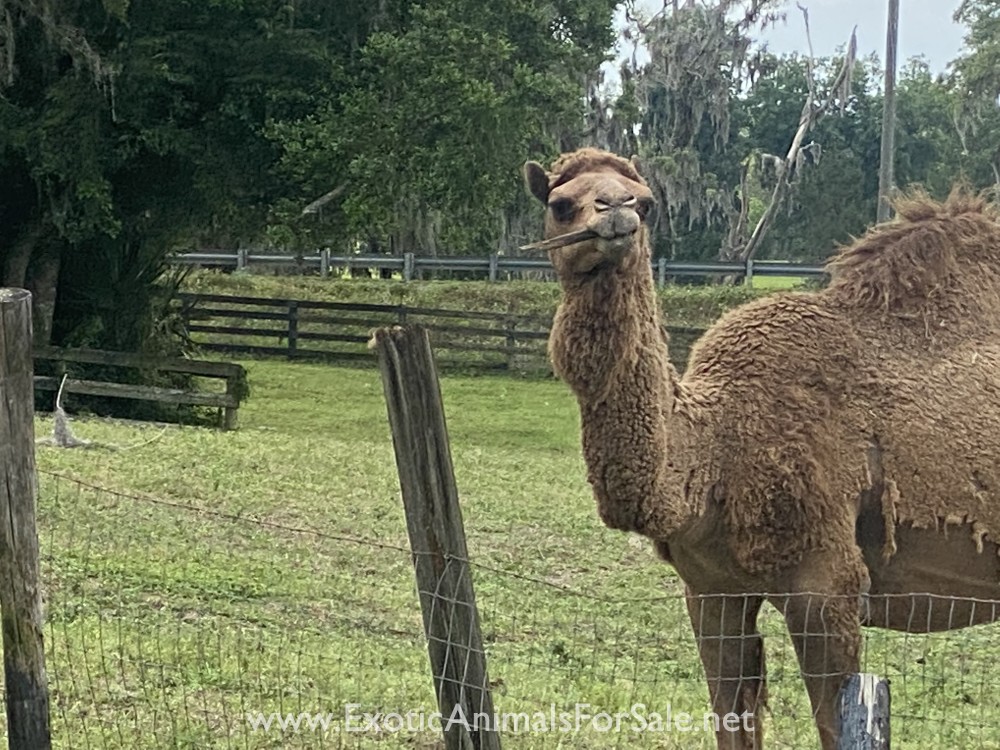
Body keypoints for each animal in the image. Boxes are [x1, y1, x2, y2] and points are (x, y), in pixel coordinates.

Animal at [523, 147, 1000, 749]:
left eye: (648, 203)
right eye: (560, 204)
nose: (617, 213)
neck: (715, 451)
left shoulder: (828, 585)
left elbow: (831, 723)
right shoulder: (711, 589)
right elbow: (731, 716)